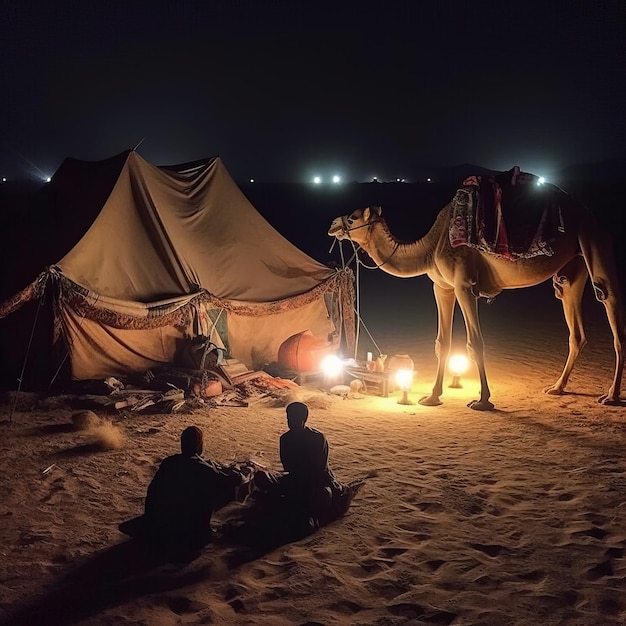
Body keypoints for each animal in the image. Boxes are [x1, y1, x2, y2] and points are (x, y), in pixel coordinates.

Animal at [330, 176, 620, 410]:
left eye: (353, 218)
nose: (332, 224)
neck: (430, 247)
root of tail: (590, 214)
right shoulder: (442, 287)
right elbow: (442, 343)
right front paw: (432, 397)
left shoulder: (464, 285)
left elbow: (475, 342)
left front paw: (483, 401)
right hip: (573, 269)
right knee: (576, 330)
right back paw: (557, 387)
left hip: (595, 243)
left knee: (610, 303)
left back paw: (611, 396)